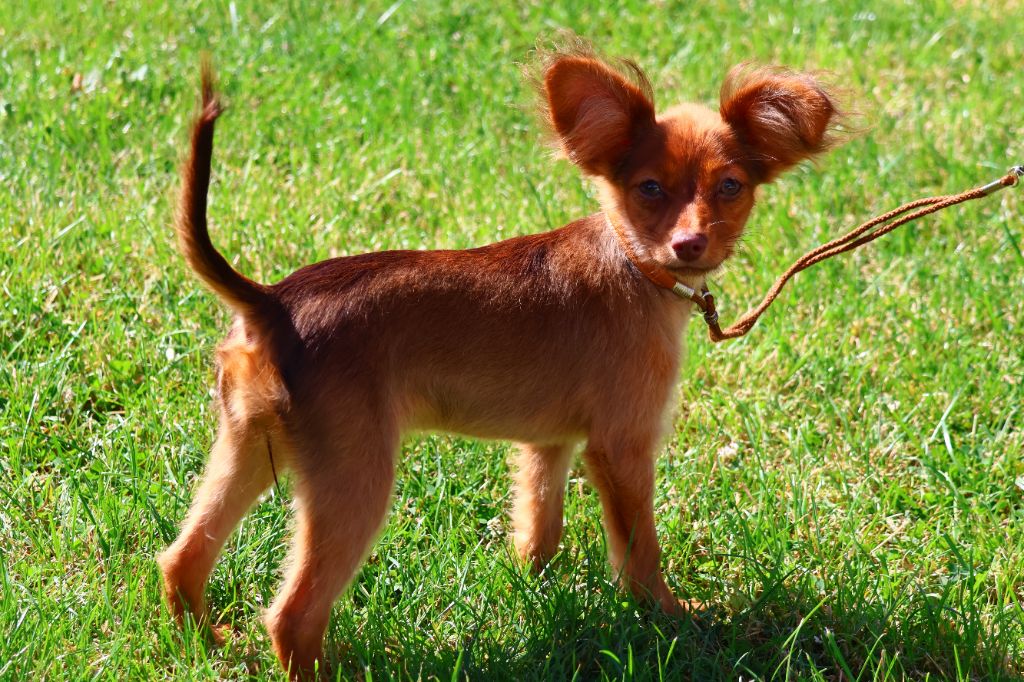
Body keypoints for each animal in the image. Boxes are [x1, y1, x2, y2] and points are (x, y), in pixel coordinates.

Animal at [158, 43, 838, 677]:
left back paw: (206, 643)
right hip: (353, 473)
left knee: (183, 557)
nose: (690, 244)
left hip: (251, 443)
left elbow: (540, 527)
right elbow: (640, 552)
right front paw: (669, 619)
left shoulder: (550, 444)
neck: (631, 265)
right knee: (292, 614)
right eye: (649, 189)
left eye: (731, 187)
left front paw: (539, 589)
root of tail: (273, 302)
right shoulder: (622, 447)